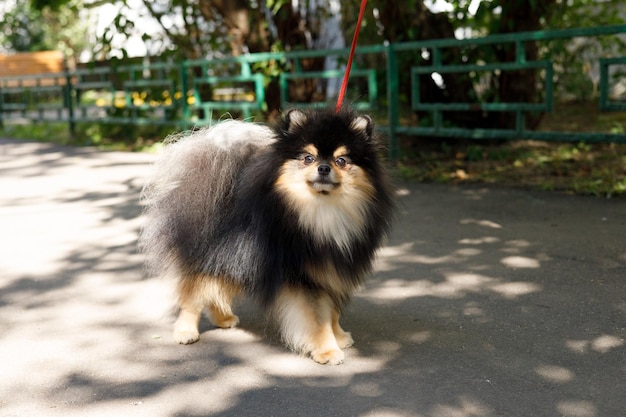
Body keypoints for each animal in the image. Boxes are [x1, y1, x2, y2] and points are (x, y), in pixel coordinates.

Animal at [142, 108, 394, 364]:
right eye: (308, 158)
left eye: (341, 161)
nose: (324, 168)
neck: (323, 211)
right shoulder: (304, 278)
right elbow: (317, 318)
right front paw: (327, 350)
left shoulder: (332, 271)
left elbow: (332, 312)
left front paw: (339, 336)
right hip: (214, 259)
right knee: (193, 296)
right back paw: (186, 332)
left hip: (238, 262)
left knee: (217, 289)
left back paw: (223, 319)